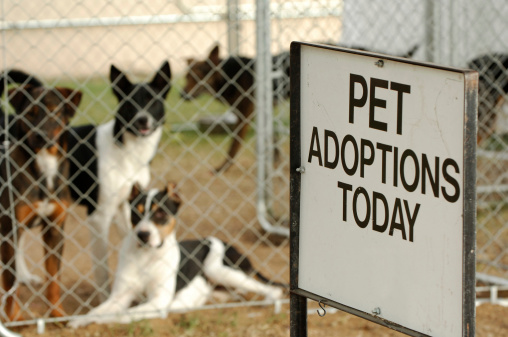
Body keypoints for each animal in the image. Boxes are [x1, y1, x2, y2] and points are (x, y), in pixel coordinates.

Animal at [0, 76, 81, 320]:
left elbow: (54, 278)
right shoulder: (10, 229)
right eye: (30, 113)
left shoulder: (54, 228)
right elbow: (10, 281)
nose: (40, 135)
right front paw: (13, 318)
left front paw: (57, 313)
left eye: (55, 112)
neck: (44, 167)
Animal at [65, 61, 172, 298]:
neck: (125, 149)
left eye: (152, 101)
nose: (142, 119)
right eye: (130, 103)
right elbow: (101, 268)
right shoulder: (99, 216)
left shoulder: (126, 205)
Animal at [67, 182, 286, 326]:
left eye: (161, 213)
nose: (143, 235)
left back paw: (270, 301)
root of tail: (228, 244)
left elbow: (121, 315)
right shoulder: (119, 297)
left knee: (270, 289)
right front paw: (79, 321)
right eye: (136, 213)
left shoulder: (158, 301)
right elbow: (96, 311)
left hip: (219, 269)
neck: (146, 256)